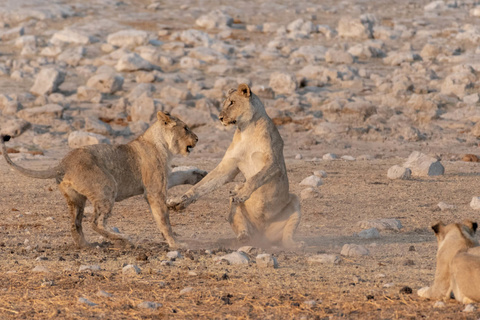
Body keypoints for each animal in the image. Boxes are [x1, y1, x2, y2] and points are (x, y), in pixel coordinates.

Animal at [0, 112, 204, 250]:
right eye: (185, 128)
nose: (197, 138)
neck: (162, 145)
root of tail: (63, 163)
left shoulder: (164, 178)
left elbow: (182, 172)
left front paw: (200, 174)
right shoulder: (154, 190)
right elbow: (163, 219)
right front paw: (175, 243)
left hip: (76, 199)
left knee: (75, 224)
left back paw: (86, 245)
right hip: (107, 186)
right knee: (95, 222)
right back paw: (124, 240)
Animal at [168, 82, 300, 248]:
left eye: (232, 102)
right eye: (224, 103)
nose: (220, 118)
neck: (246, 130)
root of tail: (263, 235)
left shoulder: (274, 163)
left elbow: (255, 178)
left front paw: (243, 194)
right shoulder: (229, 166)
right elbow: (202, 185)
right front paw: (179, 201)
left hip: (295, 201)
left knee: (287, 235)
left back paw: (295, 244)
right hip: (235, 211)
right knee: (241, 224)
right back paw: (243, 237)